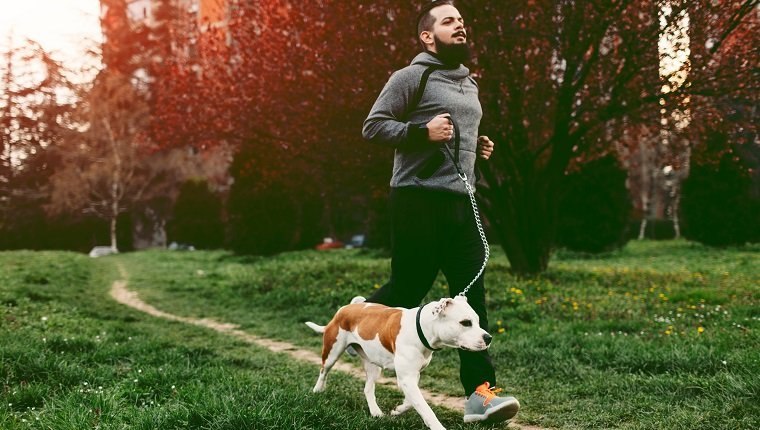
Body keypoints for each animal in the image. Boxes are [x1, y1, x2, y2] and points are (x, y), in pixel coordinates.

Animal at [306, 296, 490, 430]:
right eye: (465, 322)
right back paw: (317, 390)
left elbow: (412, 401)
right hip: (332, 351)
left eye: (478, 321)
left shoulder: (412, 376)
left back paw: (376, 412)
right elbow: (425, 408)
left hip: (373, 365)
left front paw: (398, 410)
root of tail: (346, 308)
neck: (421, 329)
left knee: (368, 388)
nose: (488, 337)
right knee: (323, 370)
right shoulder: (407, 378)